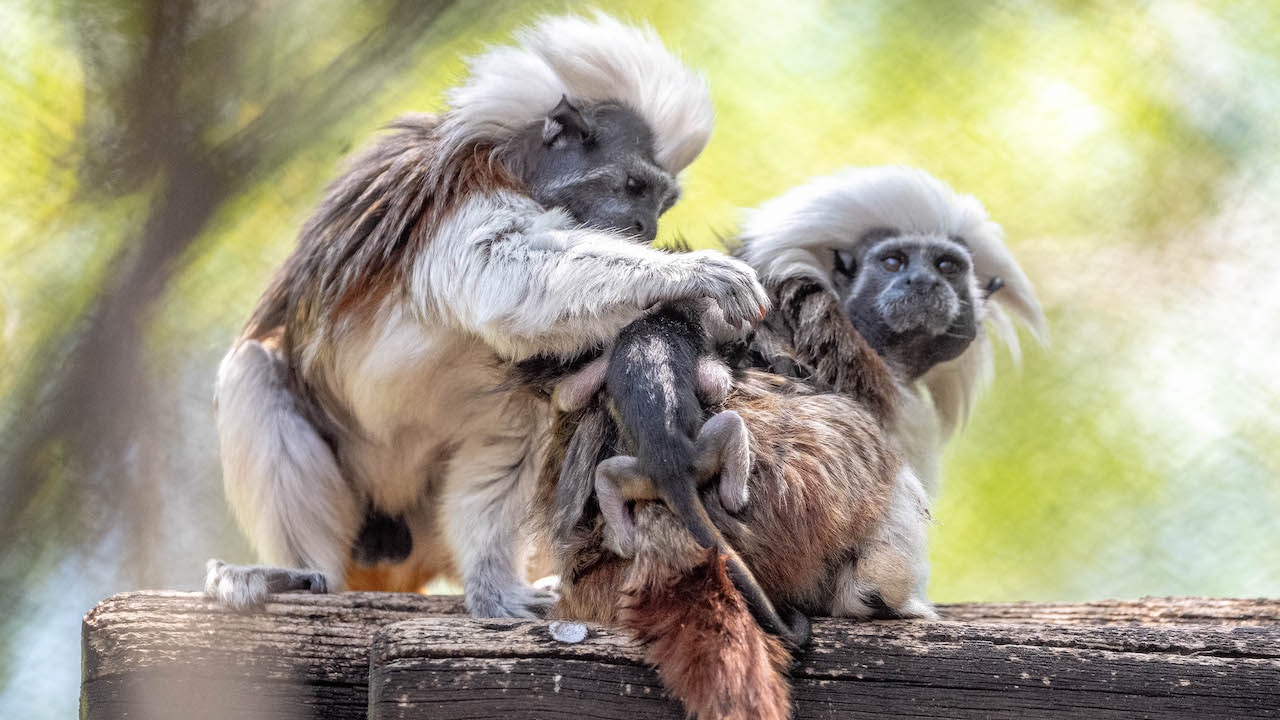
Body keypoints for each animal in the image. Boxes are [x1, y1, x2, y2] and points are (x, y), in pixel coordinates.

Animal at [204, 14, 770, 618]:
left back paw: (493, 583)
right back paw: (302, 573)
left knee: (514, 426)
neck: (521, 172)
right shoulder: (465, 192)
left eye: (660, 204)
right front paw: (694, 274)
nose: (646, 228)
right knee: (254, 369)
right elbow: (503, 271)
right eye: (633, 187)